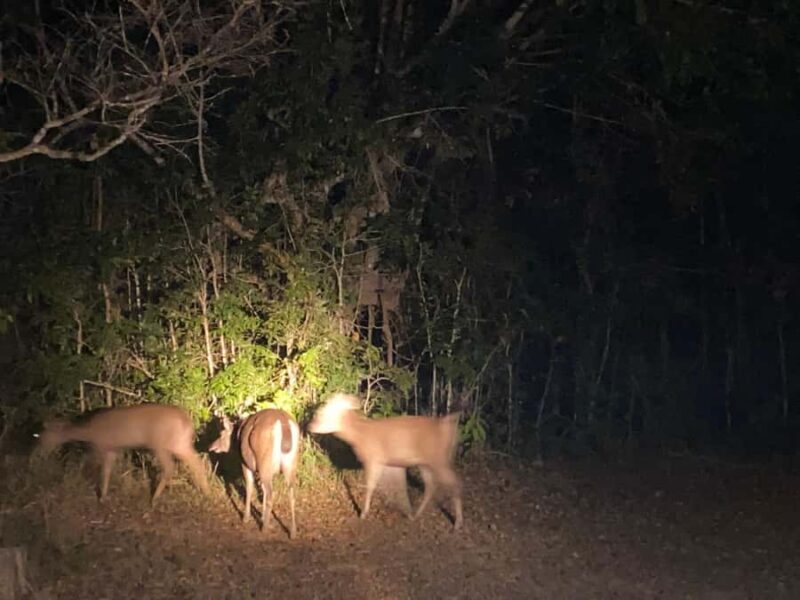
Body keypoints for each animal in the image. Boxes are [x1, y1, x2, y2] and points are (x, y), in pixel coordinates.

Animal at [37, 404, 210, 505]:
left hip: (161, 445)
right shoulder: (112, 449)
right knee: (197, 464)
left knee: (170, 467)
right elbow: (106, 471)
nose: (39, 452)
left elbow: (89, 465)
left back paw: (154, 499)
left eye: (43, 435)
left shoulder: (101, 447)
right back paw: (206, 492)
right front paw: (103, 496)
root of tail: (188, 422)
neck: (89, 431)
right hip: (181, 444)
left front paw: (71, 482)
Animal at [208, 409, 300, 539]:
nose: (211, 446)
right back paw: (292, 532)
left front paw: (245, 518)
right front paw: (261, 516)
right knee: (291, 493)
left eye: (220, 434)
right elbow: (261, 490)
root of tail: (284, 425)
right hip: (290, 464)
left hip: (265, 461)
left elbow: (249, 487)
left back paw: (265, 528)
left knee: (271, 494)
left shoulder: (245, 463)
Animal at [308, 393, 463, 529]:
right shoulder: (390, 464)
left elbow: (371, 486)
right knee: (431, 486)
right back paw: (416, 515)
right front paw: (404, 510)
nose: (311, 426)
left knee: (455, 483)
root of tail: (447, 426)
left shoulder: (373, 459)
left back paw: (457, 523)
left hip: (439, 459)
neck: (359, 435)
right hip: (425, 463)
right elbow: (398, 487)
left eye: (327, 413)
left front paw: (363, 514)